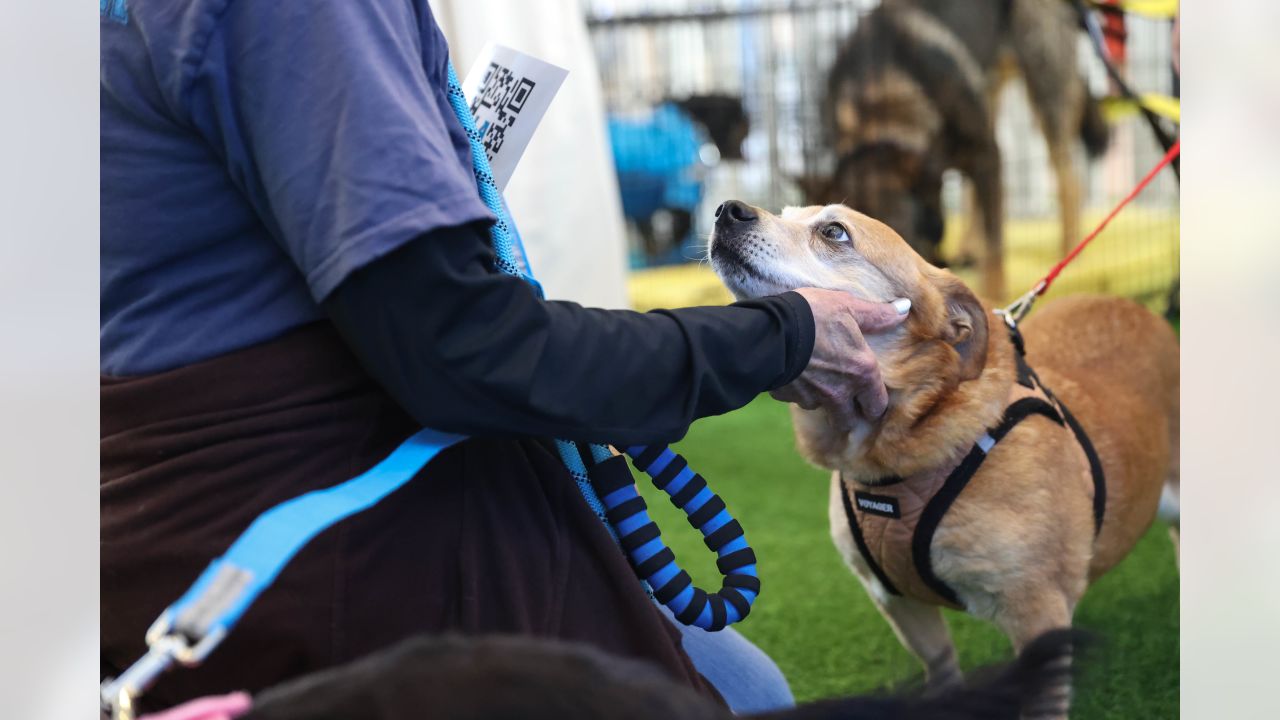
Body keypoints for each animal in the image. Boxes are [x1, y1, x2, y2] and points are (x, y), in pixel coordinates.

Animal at [711, 199, 1177, 717]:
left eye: (834, 232)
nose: (727, 210)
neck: (885, 460)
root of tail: (1138, 306)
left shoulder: (1037, 610)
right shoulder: (900, 604)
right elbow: (942, 671)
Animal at [808, 0, 1111, 299]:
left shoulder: (988, 154)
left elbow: (994, 246)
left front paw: (995, 296)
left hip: (1045, 85)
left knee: (1067, 174)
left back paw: (1071, 247)